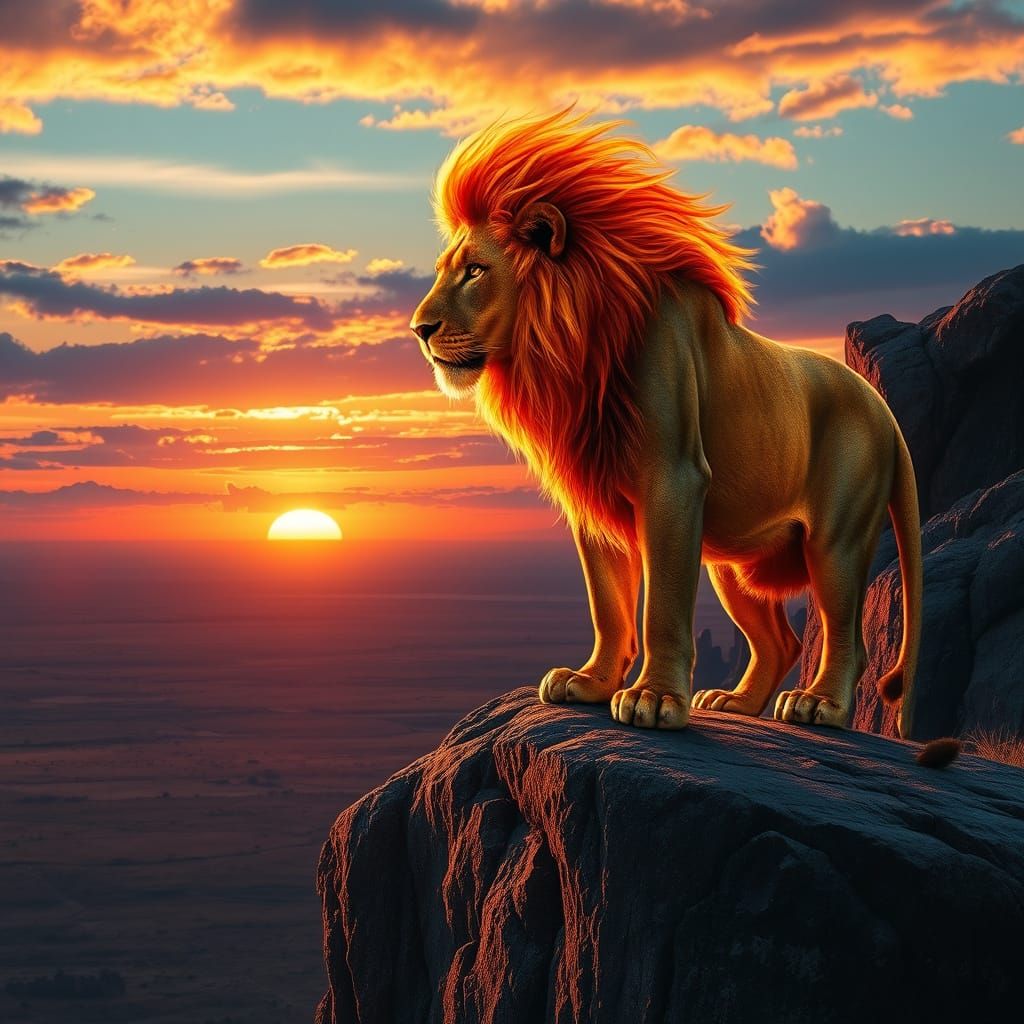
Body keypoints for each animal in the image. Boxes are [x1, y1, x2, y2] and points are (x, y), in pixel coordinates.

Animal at [410, 110, 926, 744]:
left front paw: (655, 700)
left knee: (847, 635)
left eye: (476, 272)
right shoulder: (593, 495)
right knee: (781, 641)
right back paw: (734, 702)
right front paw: (591, 683)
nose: (419, 329)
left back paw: (818, 705)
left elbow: (662, 606)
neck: (571, 355)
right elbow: (608, 604)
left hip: (835, 538)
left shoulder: (672, 480)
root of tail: (885, 411)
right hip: (732, 562)